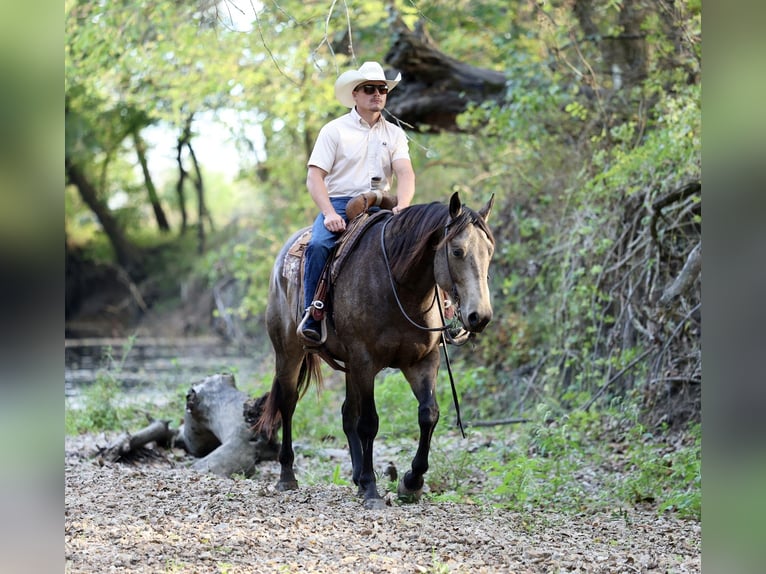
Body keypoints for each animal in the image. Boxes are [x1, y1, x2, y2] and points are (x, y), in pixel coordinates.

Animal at [257, 192, 495, 509]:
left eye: (489, 251)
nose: (479, 317)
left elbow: (428, 414)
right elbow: (369, 423)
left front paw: (411, 482)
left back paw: (357, 478)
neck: (399, 285)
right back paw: (287, 476)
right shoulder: (365, 360)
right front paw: (372, 489)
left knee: (347, 413)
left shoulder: (422, 361)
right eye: (457, 251)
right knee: (288, 403)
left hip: (348, 366)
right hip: (289, 352)